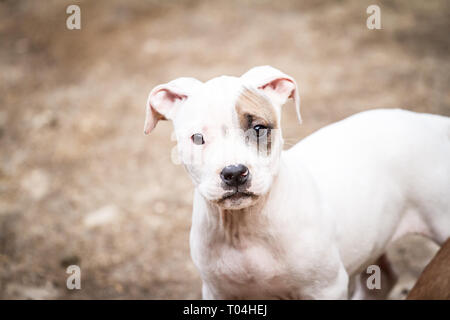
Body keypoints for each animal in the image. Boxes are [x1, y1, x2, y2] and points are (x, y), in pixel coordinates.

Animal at [144, 65, 450, 300]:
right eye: (198, 138)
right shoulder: (217, 292)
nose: (234, 172)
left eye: (259, 128)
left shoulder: (326, 289)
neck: (244, 229)